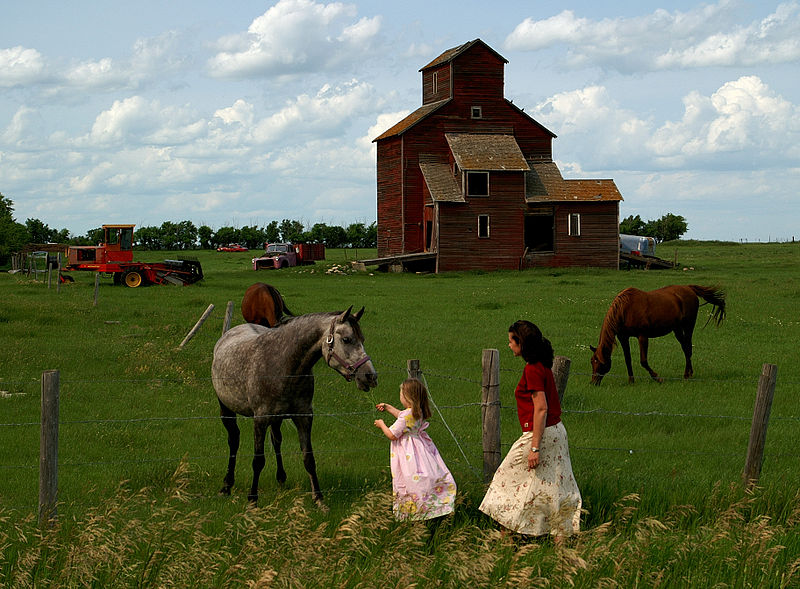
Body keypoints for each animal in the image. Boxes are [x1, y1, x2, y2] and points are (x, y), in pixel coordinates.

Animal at [211, 308, 376, 506]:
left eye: (363, 339)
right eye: (346, 339)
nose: (370, 376)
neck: (282, 364)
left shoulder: (304, 417)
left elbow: (308, 458)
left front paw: (319, 499)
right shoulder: (260, 420)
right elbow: (258, 461)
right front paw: (252, 500)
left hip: (276, 419)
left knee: (276, 440)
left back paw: (281, 477)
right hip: (226, 410)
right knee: (234, 441)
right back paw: (226, 486)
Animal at [588, 284, 724, 386]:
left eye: (599, 362)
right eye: (592, 361)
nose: (593, 382)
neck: (625, 309)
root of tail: (689, 288)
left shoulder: (642, 336)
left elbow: (643, 361)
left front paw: (658, 378)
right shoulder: (623, 337)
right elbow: (628, 359)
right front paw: (631, 381)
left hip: (688, 325)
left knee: (688, 348)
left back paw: (687, 374)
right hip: (677, 329)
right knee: (685, 348)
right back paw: (689, 373)